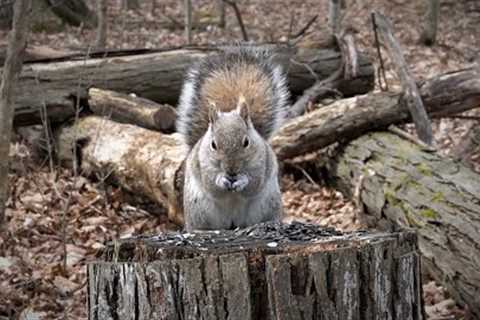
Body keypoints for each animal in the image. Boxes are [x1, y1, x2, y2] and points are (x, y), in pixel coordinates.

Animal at [176, 45, 288, 230]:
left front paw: (242, 180)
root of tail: (233, 222)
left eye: (246, 142)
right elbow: (211, 184)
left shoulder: (262, 163)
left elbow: (254, 182)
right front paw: (221, 180)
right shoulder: (203, 164)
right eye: (213, 144)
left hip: (267, 205)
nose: (232, 170)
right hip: (199, 210)